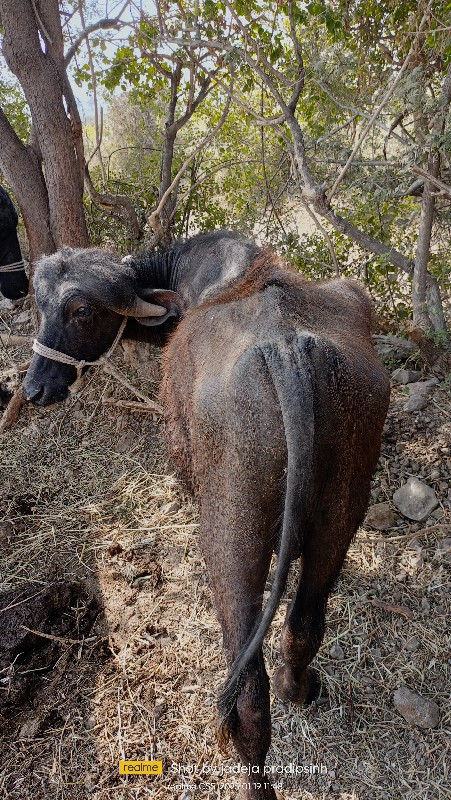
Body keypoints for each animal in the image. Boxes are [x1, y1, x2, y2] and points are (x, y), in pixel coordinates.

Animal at [23, 231, 390, 800]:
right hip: (344, 508)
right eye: (39, 304)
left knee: (247, 694)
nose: (36, 388)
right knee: (304, 623)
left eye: (81, 311)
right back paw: (299, 689)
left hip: (231, 536)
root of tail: (286, 351)